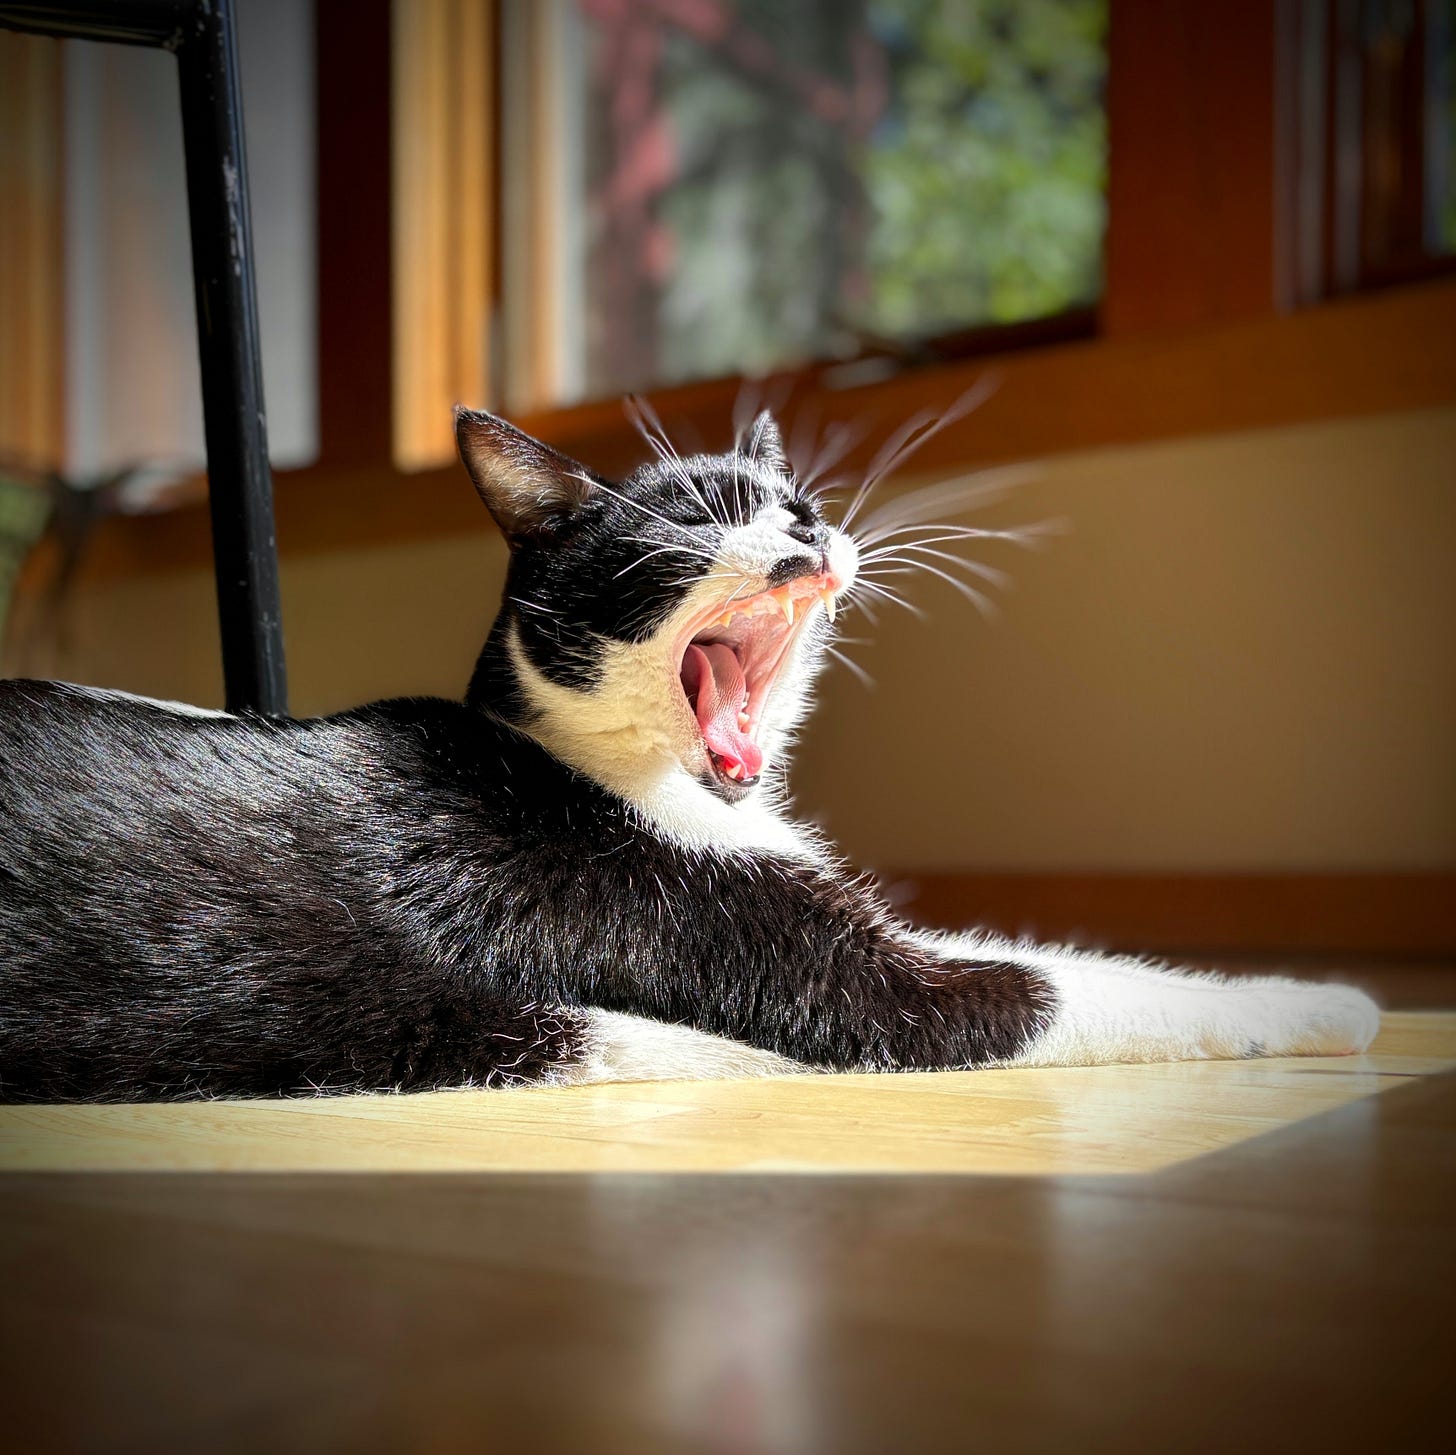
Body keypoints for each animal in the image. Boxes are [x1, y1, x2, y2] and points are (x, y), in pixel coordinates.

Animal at [0, 404, 1374, 1095]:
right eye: (694, 519)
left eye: (801, 506)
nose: (807, 534)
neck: (615, 773)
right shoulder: (822, 971)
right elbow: (1069, 986)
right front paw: (1330, 1001)